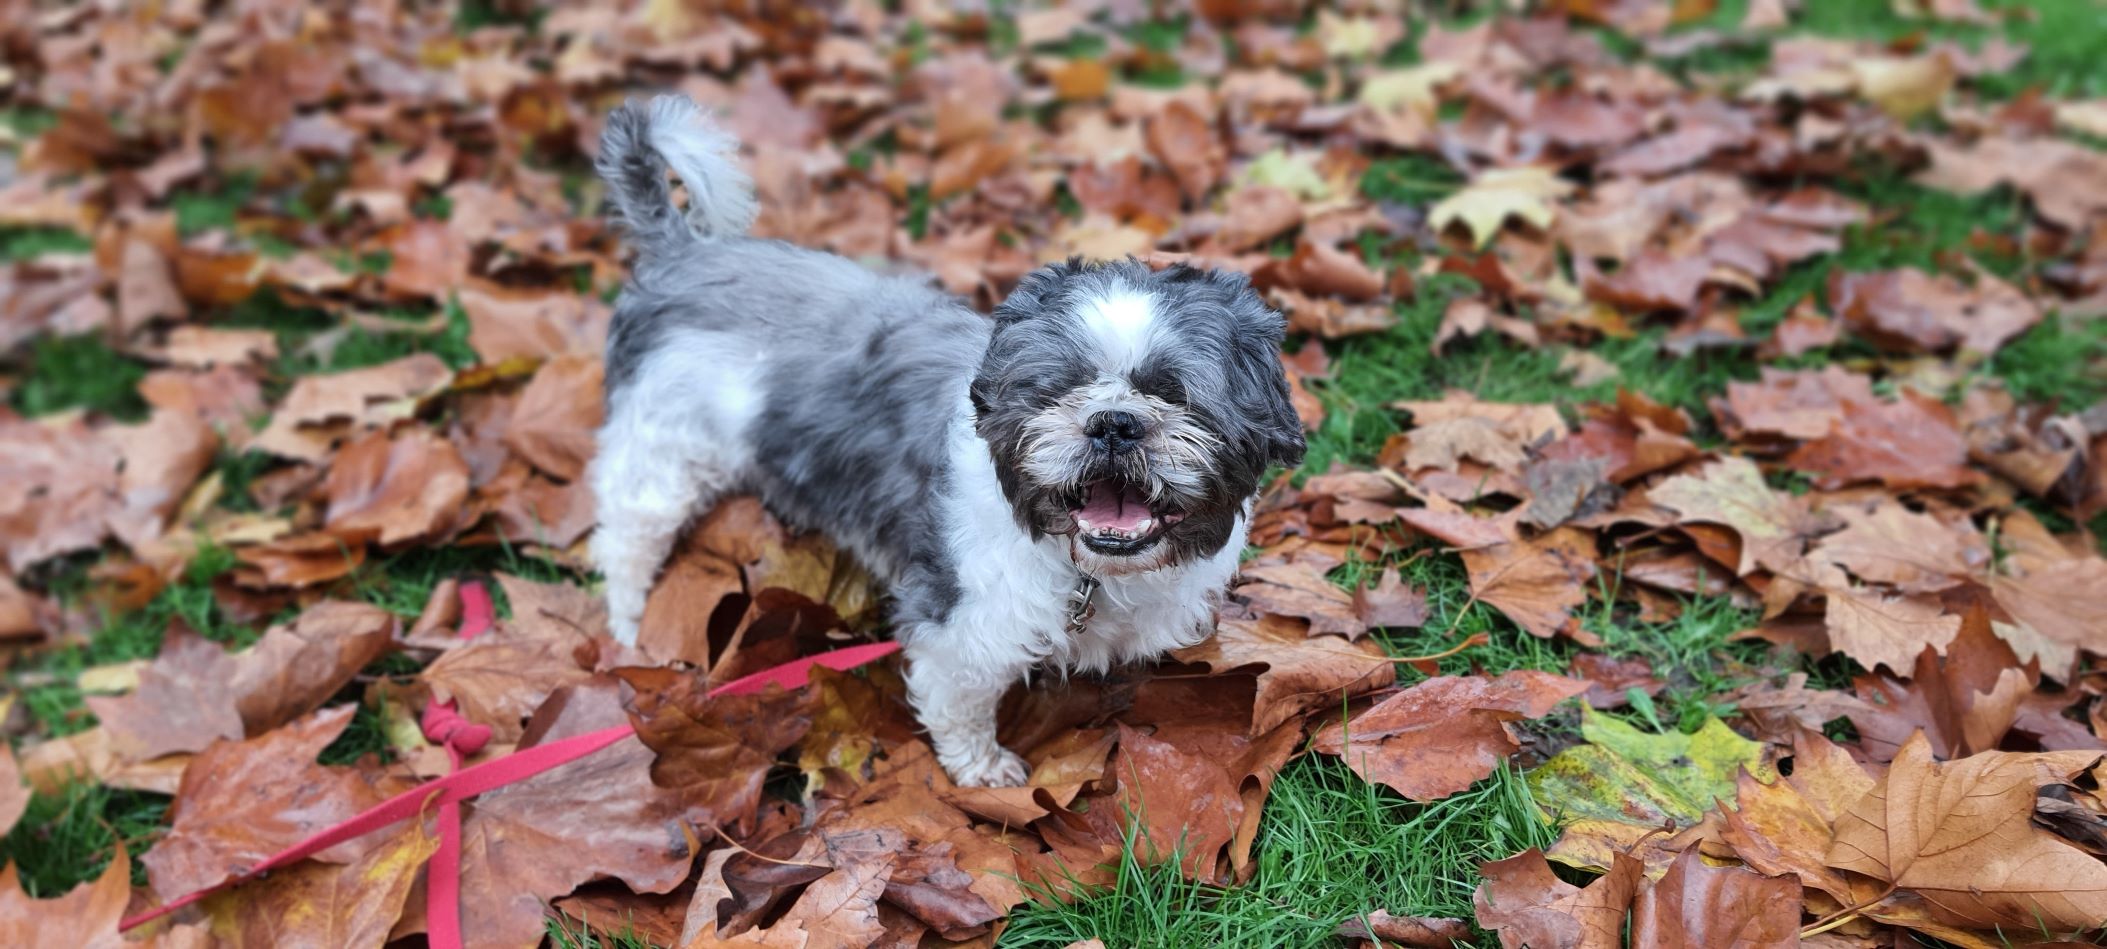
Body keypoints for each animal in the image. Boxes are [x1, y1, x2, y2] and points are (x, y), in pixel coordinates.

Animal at [581, 96, 1297, 788]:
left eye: (1175, 393)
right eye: (1056, 390)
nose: (1113, 421)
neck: (1088, 574)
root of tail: (682, 255)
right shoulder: (963, 619)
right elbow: (960, 700)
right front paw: (982, 767)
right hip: (661, 452)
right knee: (626, 542)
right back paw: (631, 626)